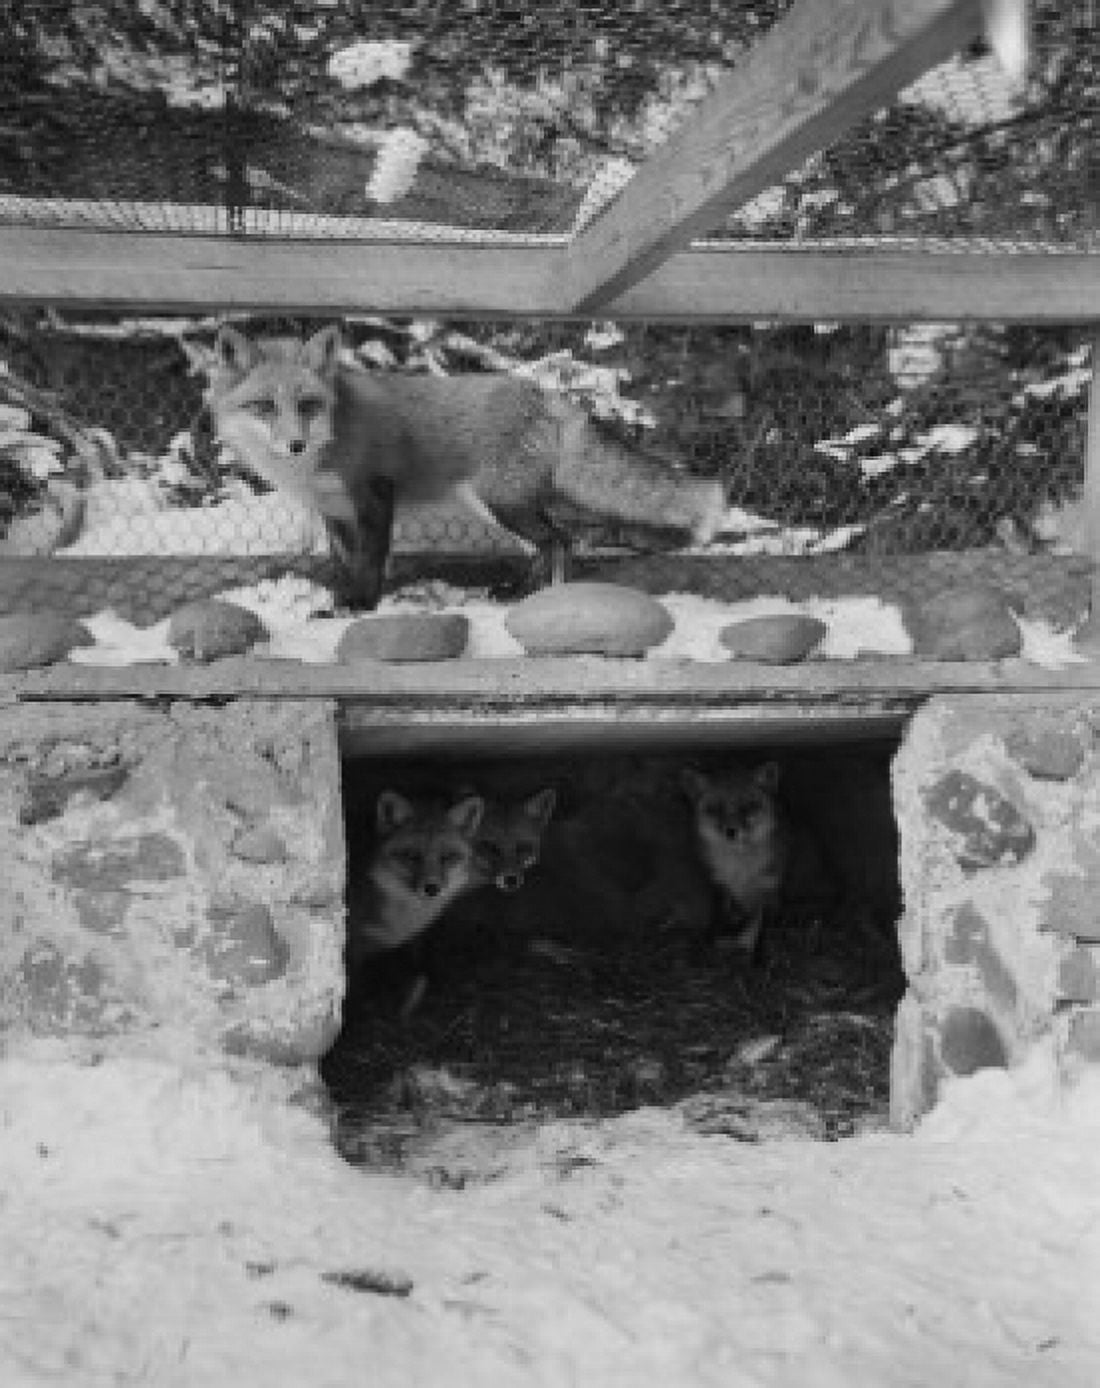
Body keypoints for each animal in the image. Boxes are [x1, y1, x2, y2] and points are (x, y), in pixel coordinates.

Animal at [203, 323, 727, 604]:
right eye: (265, 407)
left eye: (307, 405)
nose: (293, 444)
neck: (323, 450)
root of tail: (542, 392)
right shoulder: (335, 511)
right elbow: (344, 565)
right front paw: (342, 601)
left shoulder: (373, 496)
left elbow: (370, 562)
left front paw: (361, 607)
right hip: (503, 505)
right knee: (558, 541)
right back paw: (520, 594)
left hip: (501, 502)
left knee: (559, 541)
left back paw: (537, 597)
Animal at [681, 762, 789, 968]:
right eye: (715, 808)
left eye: (748, 806)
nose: (731, 831)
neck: (740, 871)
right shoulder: (721, 886)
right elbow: (720, 921)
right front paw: (712, 946)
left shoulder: (768, 889)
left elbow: (759, 931)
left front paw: (757, 960)